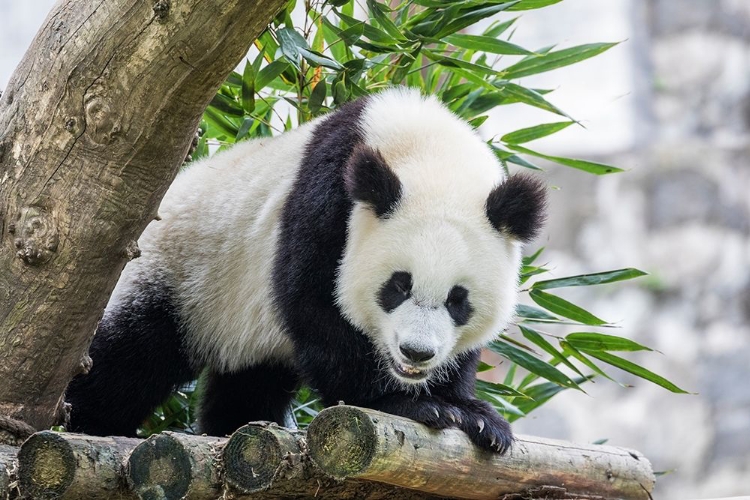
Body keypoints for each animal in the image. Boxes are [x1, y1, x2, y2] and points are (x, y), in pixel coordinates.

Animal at [66, 86, 548, 454]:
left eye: (458, 300)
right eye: (397, 286)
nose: (416, 353)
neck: (425, 148)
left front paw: (475, 415)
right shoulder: (328, 197)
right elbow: (312, 304)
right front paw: (407, 403)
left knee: (247, 387)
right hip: (175, 273)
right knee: (127, 361)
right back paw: (87, 422)